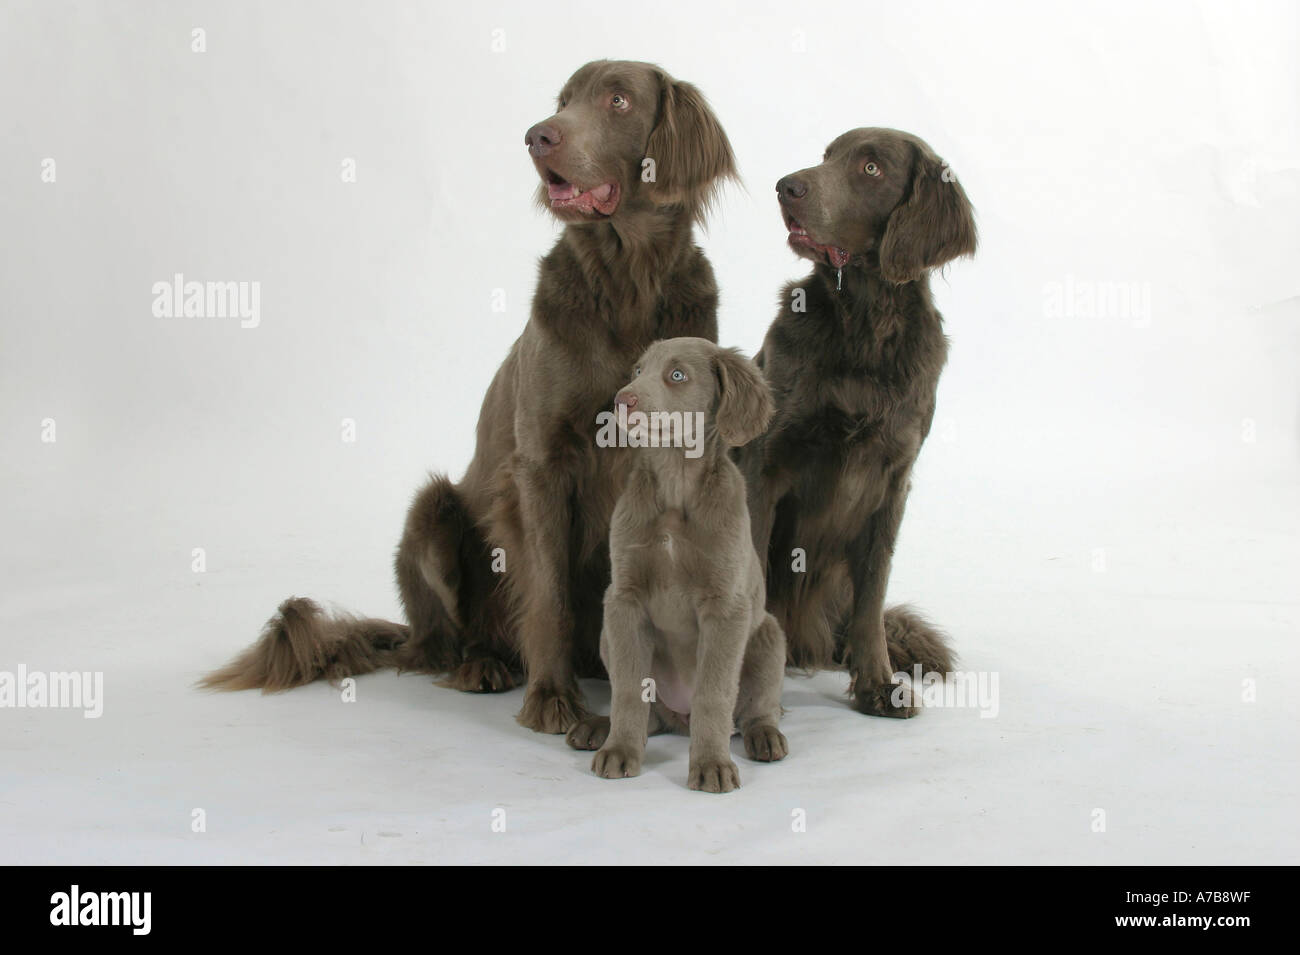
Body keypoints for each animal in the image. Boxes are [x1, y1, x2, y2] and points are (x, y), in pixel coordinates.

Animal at [200, 61, 733, 732]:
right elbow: (549, 594)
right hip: (433, 514)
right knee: (448, 641)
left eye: (618, 100)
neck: (628, 283)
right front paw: (552, 698)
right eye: (563, 100)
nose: (537, 137)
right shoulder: (540, 465)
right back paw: (485, 665)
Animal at [743, 130, 977, 717]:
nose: (786, 186)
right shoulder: (764, 466)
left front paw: (878, 684)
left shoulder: (891, 481)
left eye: (871, 168)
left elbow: (873, 597)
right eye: (826, 157)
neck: (866, 321)